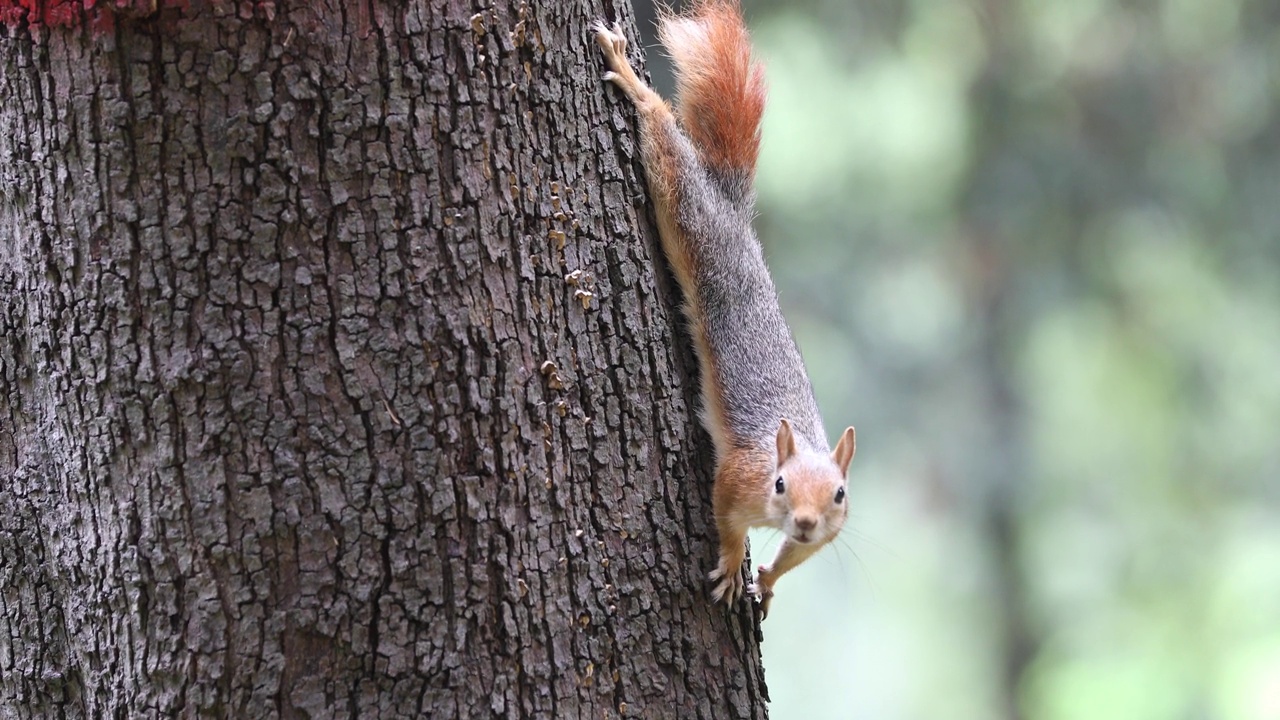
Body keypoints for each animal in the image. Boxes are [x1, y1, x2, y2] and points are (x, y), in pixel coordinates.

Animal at [591, 1, 855, 617]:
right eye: (779, 483)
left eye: (839, 494)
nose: (804, 521)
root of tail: (733, 214)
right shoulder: (738, 476)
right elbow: (725, 518)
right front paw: (735, 564)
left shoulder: (824, 535)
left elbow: (793, 557)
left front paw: (770, 578)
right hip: (691, 216)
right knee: (665, 146)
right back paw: (636, 86)